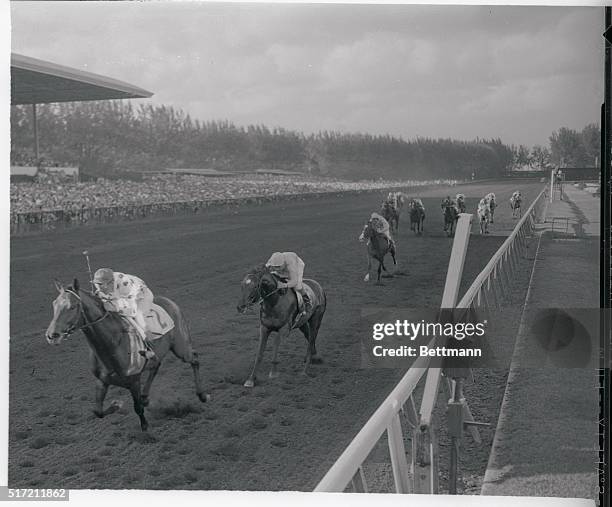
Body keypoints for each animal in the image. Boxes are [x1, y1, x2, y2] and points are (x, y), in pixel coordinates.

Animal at [44, 280, 209, 430]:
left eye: (72, 306)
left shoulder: (134, 381)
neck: (113, 344)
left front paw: (144, 427)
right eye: (54, 305)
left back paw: (202, 395)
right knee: (156, 365)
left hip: (181, 347)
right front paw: (117, 405)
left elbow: (138, 408)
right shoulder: (102, 381)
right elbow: (97, 411)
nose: (52, 335)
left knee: (194, 359)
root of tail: (169, 301)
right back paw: (146, 397)